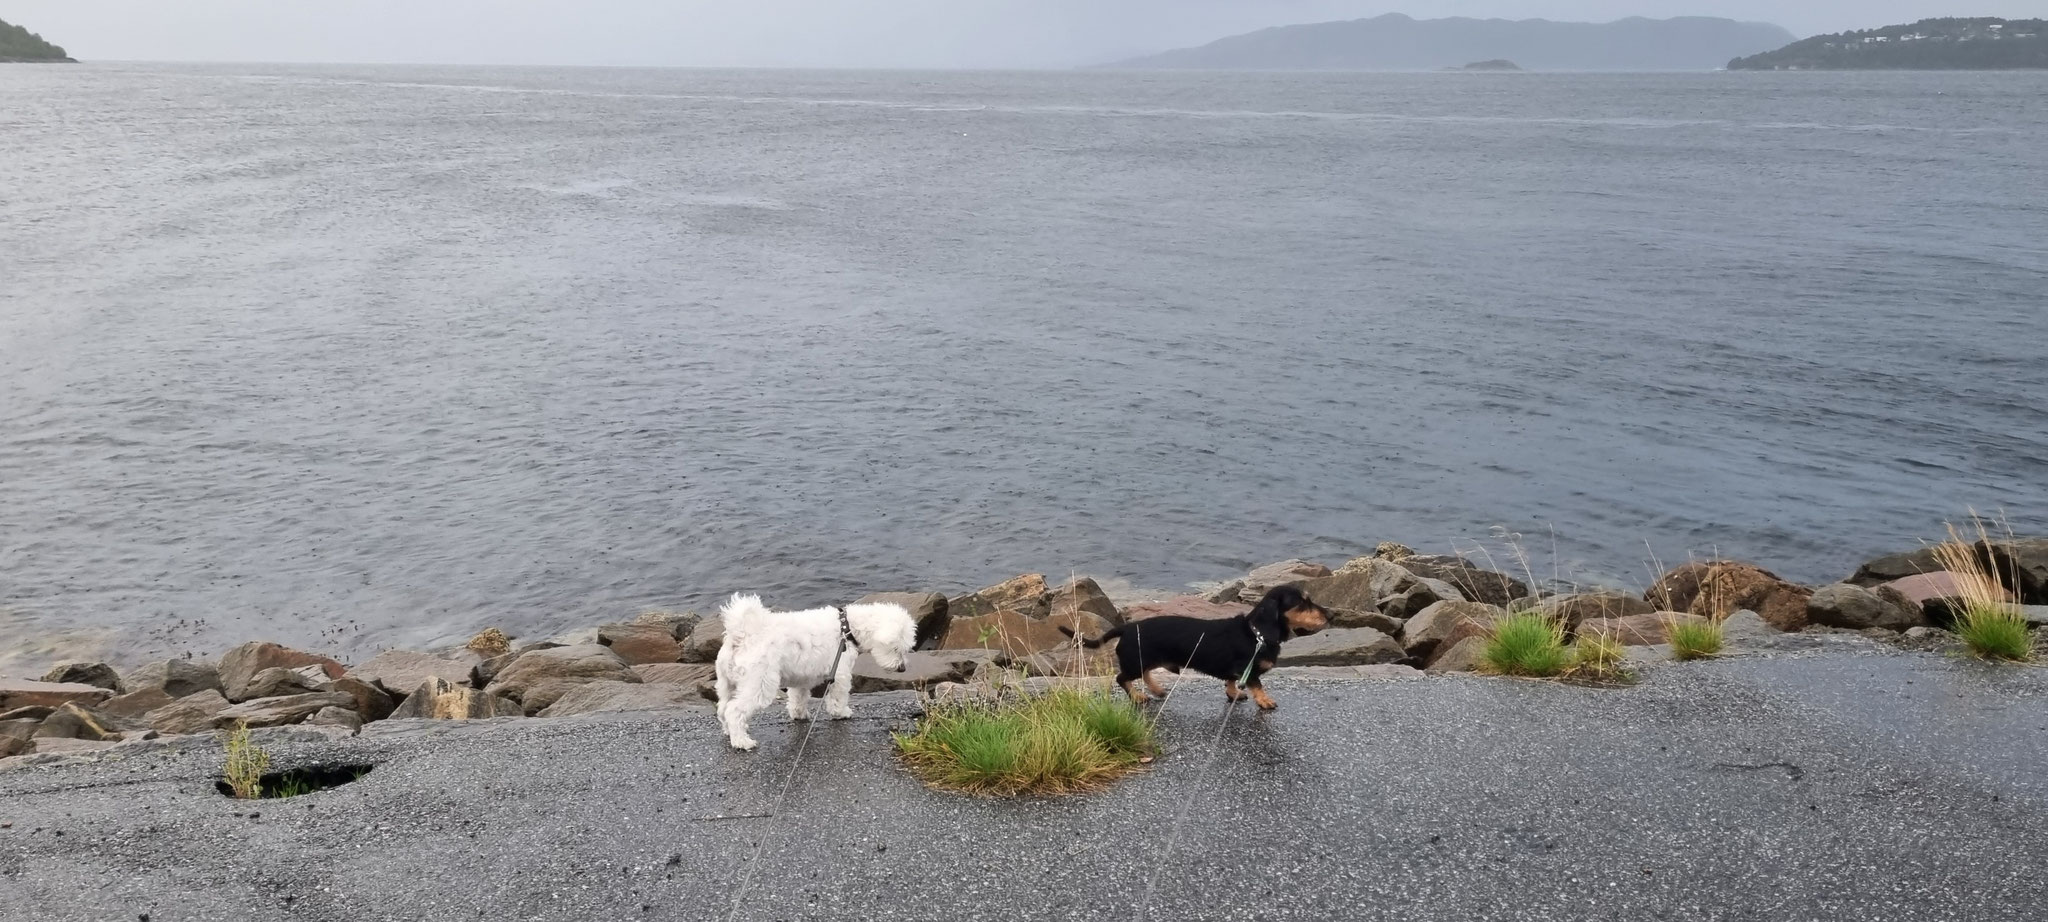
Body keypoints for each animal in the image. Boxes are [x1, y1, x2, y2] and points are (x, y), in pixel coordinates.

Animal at [716, 594, 917, 753]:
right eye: (896, 648)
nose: (902, 668)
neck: (847, 629)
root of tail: (743, 635)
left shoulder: (801, 678)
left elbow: (798, 699)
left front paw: (799, 715)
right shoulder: (840, 673)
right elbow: (838, 698)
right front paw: (841, 713)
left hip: (727, 684)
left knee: (723, 709)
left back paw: (729, 732)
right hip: (759, 684)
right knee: (734, 710)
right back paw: (742, 741)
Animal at [1064, 585, 1335, 708]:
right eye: (1302, 603)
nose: (1331, 615)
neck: (1255, 633)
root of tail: (1128, 627)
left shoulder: (1235, 671)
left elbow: (1230, 682)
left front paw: (1234, 694)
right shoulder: (1249, 670)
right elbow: (1258, 685)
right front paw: (1265, 701)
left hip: (1145, 659)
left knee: (1146, 674)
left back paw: (1157, 690)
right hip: (1134, 662)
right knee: (1122, 678)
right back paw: (1139, 696)